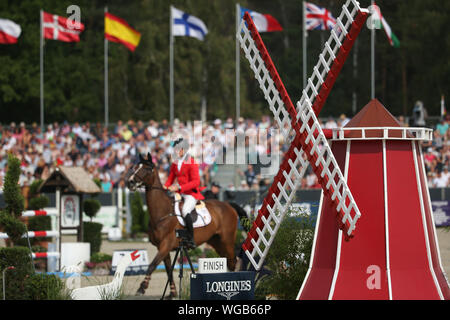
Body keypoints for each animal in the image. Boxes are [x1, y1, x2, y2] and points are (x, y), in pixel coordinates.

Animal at [125, 154, 248, 296]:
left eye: (146, 168)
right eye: (135, 167)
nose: (130, 182)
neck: (163, 213)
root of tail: (228, 205)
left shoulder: (165, 245)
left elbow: (152, 265)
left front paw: (142, 287)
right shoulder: (162, 248)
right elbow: (168, 270)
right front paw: (172, 292)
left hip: (226, 240)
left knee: (233, 261)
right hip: (217, 242)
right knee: (229, 261)